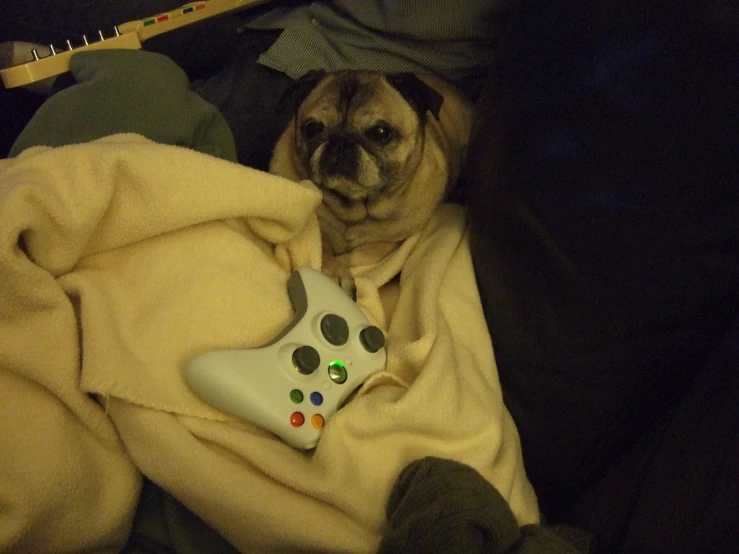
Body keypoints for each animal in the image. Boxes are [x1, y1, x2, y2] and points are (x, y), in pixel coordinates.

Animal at [272, 70, 474, 296]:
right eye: (312, 128)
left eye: (381, 132)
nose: (340, 143)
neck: (355, 208)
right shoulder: (317, 227)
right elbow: (323, 244)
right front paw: (335, 270)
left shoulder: (392, 242)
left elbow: (362, 253)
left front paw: (343, 264)